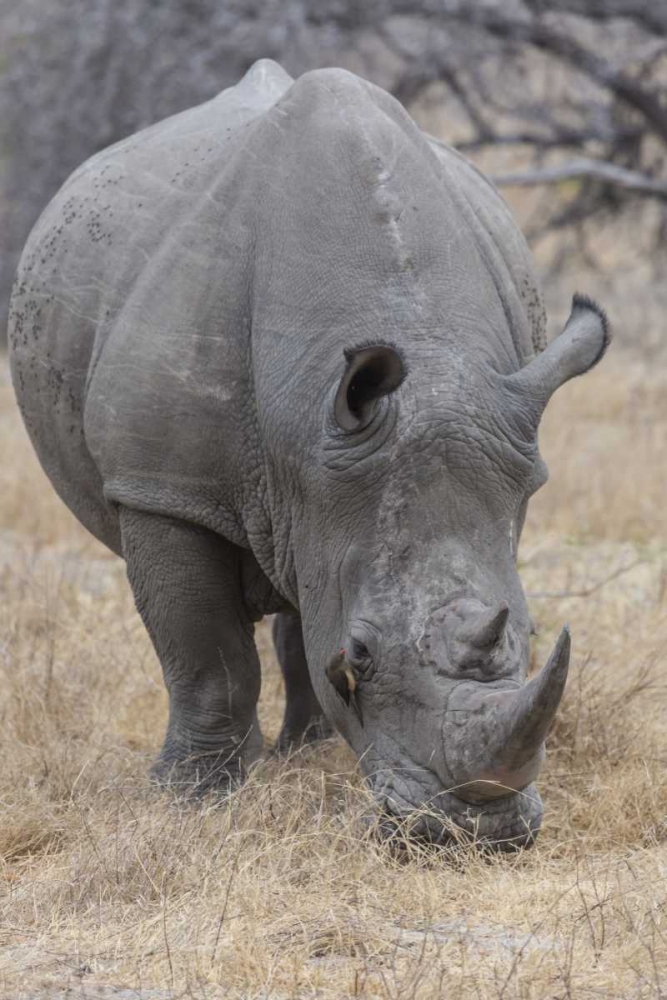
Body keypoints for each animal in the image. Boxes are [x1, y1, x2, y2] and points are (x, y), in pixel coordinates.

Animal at [8, 60, 609, 850]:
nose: (476, 831)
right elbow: (205, 655)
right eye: (359, 656)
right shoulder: (161, 487)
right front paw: (189, 798)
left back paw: (306, 751)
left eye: (536, 634)